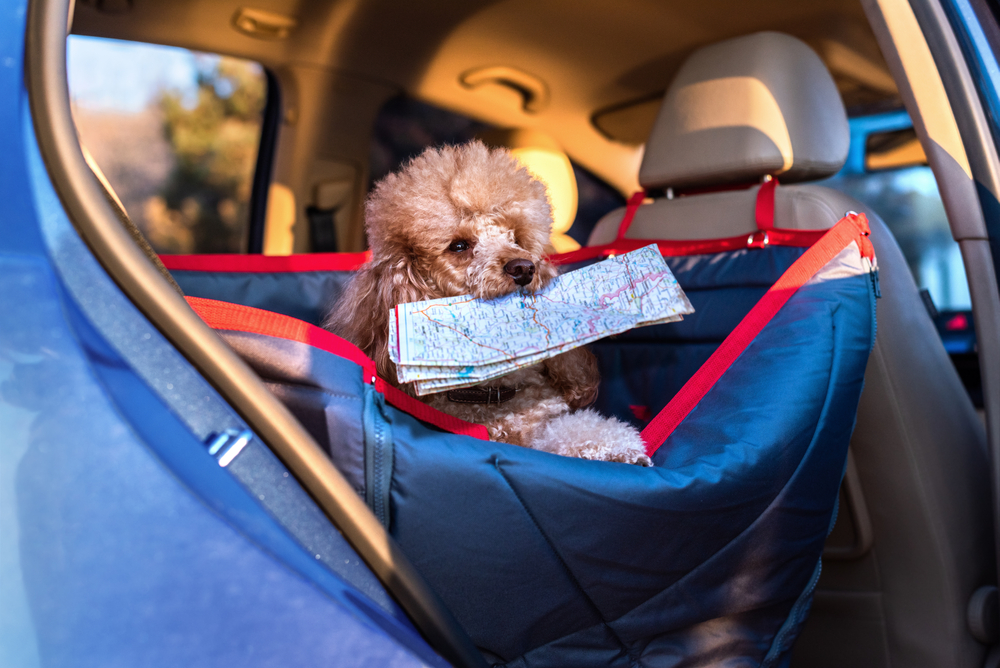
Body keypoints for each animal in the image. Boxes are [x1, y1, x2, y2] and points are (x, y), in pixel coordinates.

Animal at [324, 141, 652, 464]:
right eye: (459, 246)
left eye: (516, 238)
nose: (524, 268)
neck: (493, 395)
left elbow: (576, 429)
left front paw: (623, 447)